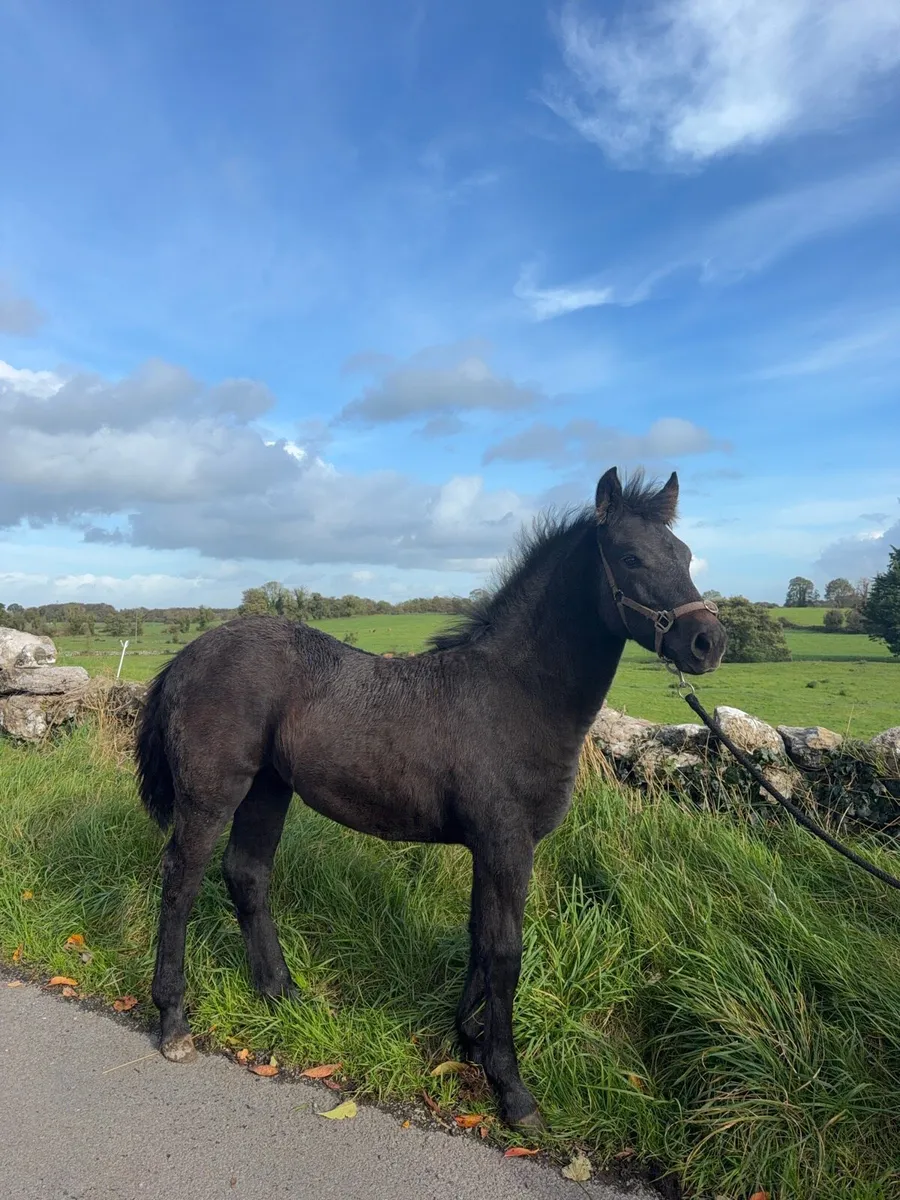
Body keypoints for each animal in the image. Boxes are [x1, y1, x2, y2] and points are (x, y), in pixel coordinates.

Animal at [136, 466, 726, 1128]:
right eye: (630, 557)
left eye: (685, 554)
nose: (708, 641)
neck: (515, 695)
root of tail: (187, 656)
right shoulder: (507, 843)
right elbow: (505, 951)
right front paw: (511, 1087)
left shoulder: (489, 847)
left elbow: (478, 937)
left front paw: (468, 1042)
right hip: (212, 795)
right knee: (181, 883)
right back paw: (174, 1021)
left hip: (269, 789)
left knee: (247, 874)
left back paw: (284, 995)